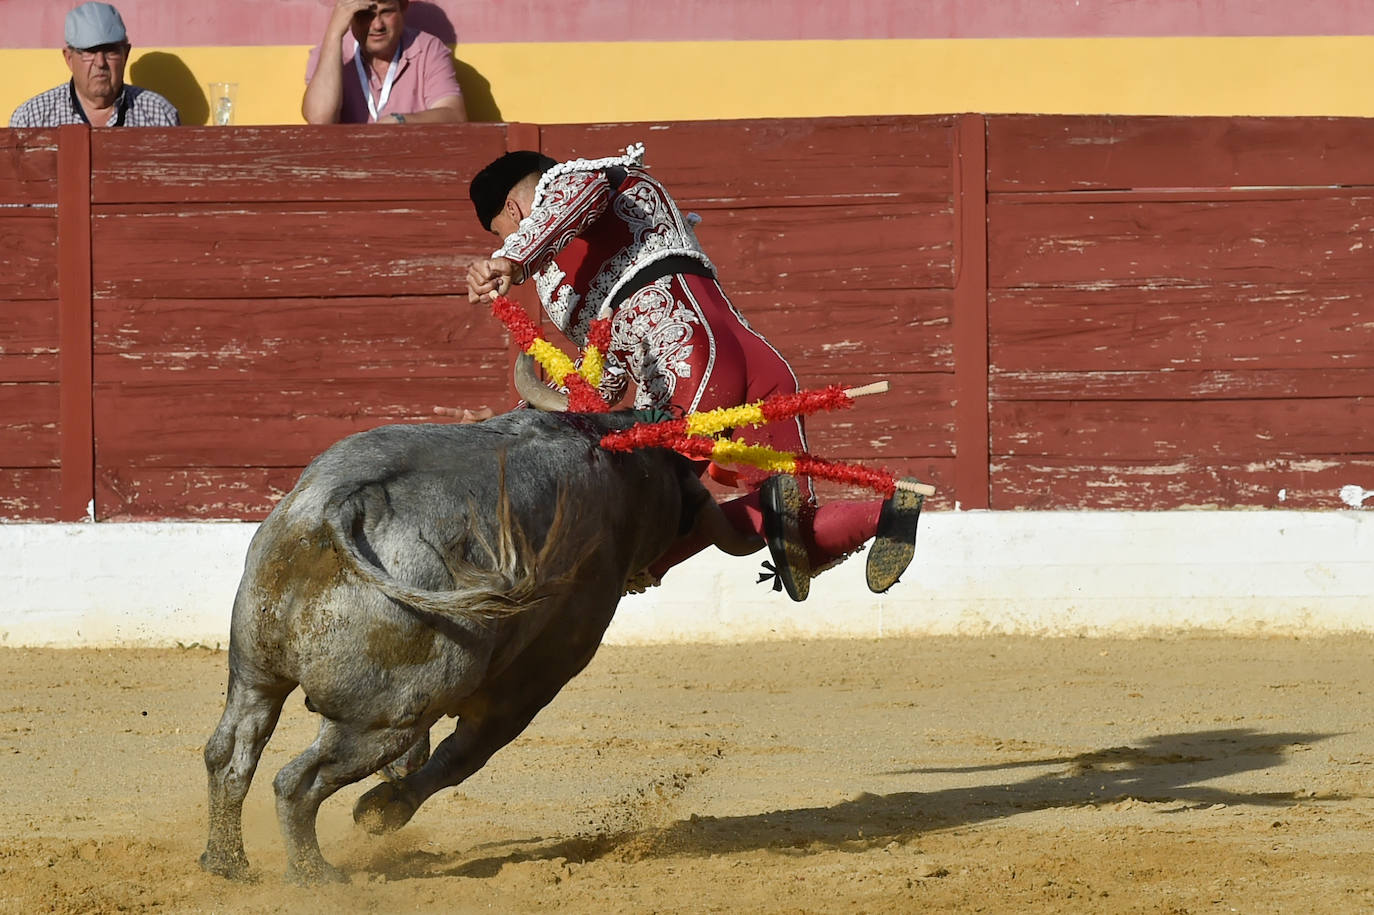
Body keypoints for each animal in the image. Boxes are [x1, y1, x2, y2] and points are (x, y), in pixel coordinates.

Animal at [199, 403, 758, 879]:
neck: (616, 468)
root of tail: (344, 503)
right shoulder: (540, 671)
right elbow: (467, 752)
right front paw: (383, 811)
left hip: (255, 671)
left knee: (229, 754)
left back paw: (227, 864)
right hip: (381, 720)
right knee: (298, 782)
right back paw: (315, 876)